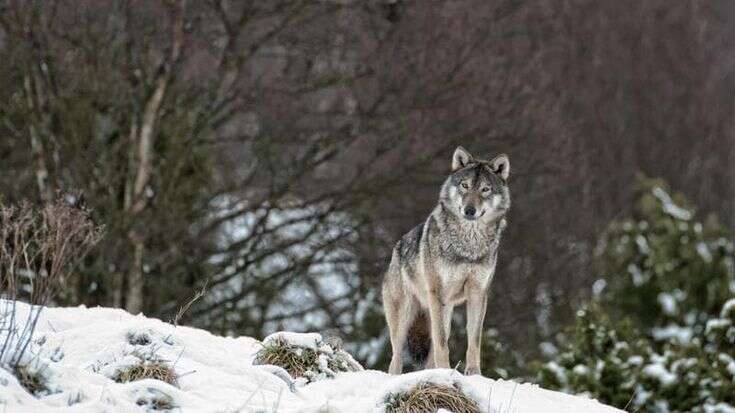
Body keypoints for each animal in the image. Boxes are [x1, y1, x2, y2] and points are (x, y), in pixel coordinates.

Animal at [382, 146, 508, 374]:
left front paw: (474, 374)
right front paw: (446, 371)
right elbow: (442, 343)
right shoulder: (438, 292)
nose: (469, 210)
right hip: (406, 315)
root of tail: (397, 248)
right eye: (464, 186)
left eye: (485, 189)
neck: (469, 245)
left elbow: (474, 340)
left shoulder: (478, 293)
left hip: (444, 310)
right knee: (396, 357)